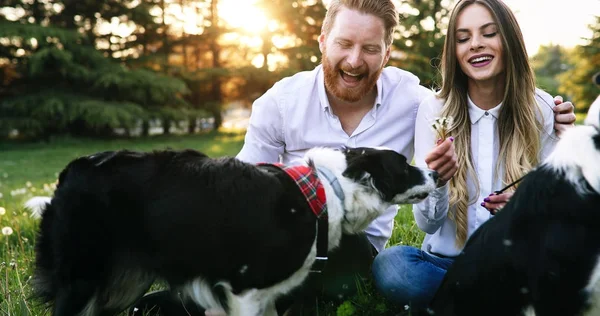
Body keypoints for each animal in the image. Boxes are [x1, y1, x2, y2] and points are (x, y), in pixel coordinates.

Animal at [32, 147, 436, 314]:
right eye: (404, 165)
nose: (435, 171)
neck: (327, 188)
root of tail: (71, 171)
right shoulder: (246, 289)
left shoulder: (265, 294)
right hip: (83, 278)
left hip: (122, 282)